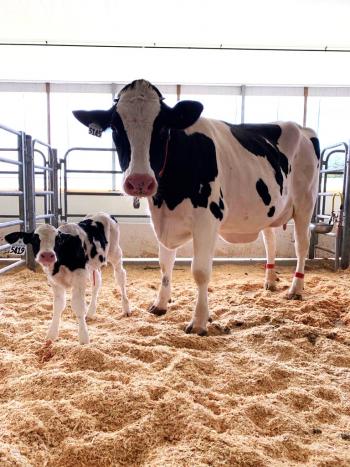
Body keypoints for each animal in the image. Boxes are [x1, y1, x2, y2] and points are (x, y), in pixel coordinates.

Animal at [4, 213, 131, 344]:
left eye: (58, 239)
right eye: (35, 239)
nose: (47, 255)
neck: (61, 263)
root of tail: (103, 214)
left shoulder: (79, 277)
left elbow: (78, 306)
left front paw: (84, 338)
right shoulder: (55, 282)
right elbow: (58, 306)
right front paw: (51, 335)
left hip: (115, 252)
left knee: (120, 276)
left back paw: (126, 309)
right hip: (93, 265)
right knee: (97, 283)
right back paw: (91, 312)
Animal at [73, 79, 320, 336]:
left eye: (162, 128)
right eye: (116, 128)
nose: (139, 181)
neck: (168, 197)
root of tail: (302, 129)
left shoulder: (207, 220)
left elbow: (200, 272)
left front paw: (199, 321)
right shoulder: (162, 220)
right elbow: (165, 264)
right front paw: (160, 304)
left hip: (305, 202)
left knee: (301, 247)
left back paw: (295, 288)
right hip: (269, 209)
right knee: (270, 242)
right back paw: (270, 281)